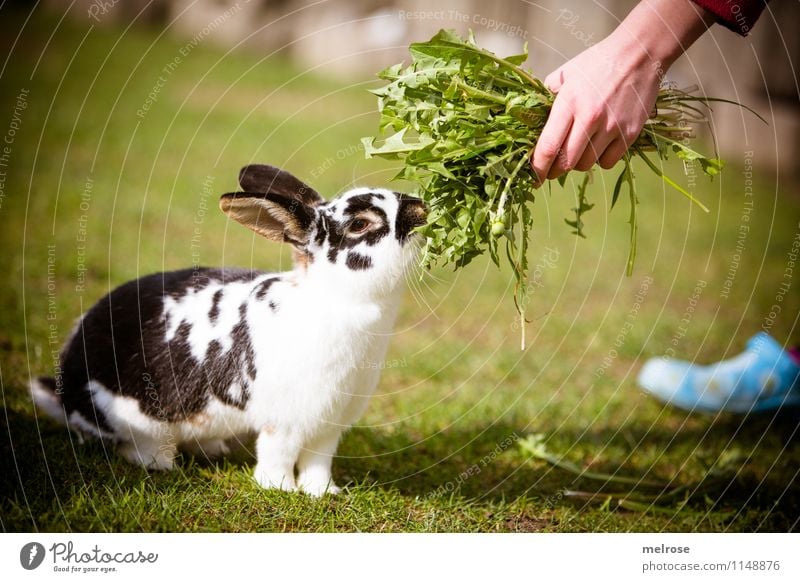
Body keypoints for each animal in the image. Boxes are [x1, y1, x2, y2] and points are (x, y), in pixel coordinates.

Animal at [31, 164, 428, 498]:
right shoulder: (285, 421)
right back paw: (161, 462)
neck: (335, 297)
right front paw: (280, 489)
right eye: (360, 224)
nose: (420, 208)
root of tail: (65, 385)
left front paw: (324, 493)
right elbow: (278, 454)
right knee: (133, 446)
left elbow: (319, 461)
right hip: (134, 418)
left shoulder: (330, 423)